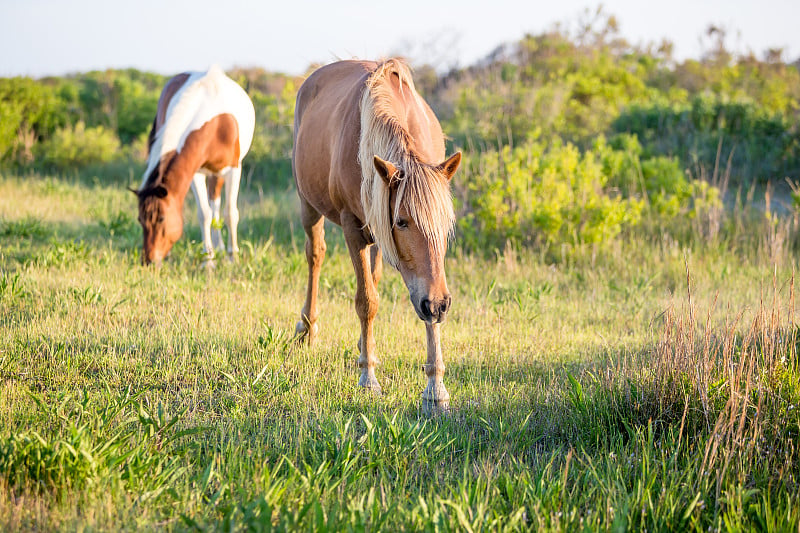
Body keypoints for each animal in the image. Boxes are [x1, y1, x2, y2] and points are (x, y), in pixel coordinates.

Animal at [133, 65, 255, 264]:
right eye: (140, 220)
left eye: (161, 219)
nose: (148, 261)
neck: (215, 124)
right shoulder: (195, 172)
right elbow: (204, 213)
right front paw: (208, 260)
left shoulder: (233, 170)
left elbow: (230, 213)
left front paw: (233, 257)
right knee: (213, 206)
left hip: (219, 173)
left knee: (217, 203)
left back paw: (222, 248)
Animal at [292, 59, 462, 408]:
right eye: (402, 221)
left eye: (445, 224)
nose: (439, 304)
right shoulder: (353, 227)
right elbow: (366, 301)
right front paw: (368, 377)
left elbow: (418, 304)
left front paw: (435, 388)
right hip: (308, 206)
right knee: (315, 256)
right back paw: (308, 328)